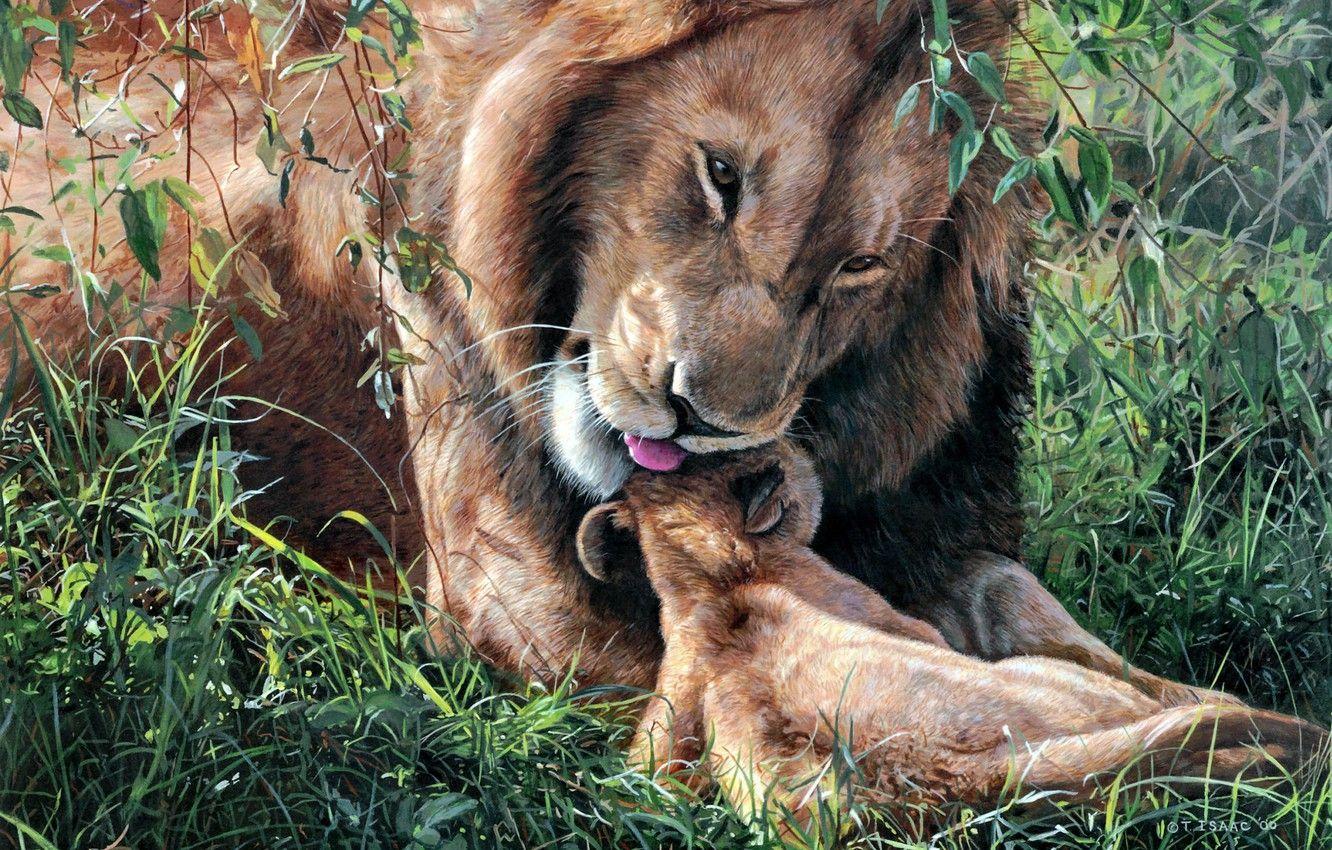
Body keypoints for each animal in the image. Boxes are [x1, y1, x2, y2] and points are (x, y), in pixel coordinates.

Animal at [3, 0, 1220, 703]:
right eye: (720, 176)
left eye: (861, 266)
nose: (705, 414)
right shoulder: (518, 612)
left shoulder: (941, 527)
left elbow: (1023, 609)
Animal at [575, 442, 1326, 824]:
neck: (708, 578)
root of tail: (966, 777)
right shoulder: (913, 625)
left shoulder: (660, 741)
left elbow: (638, 784)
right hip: (1060, 684)